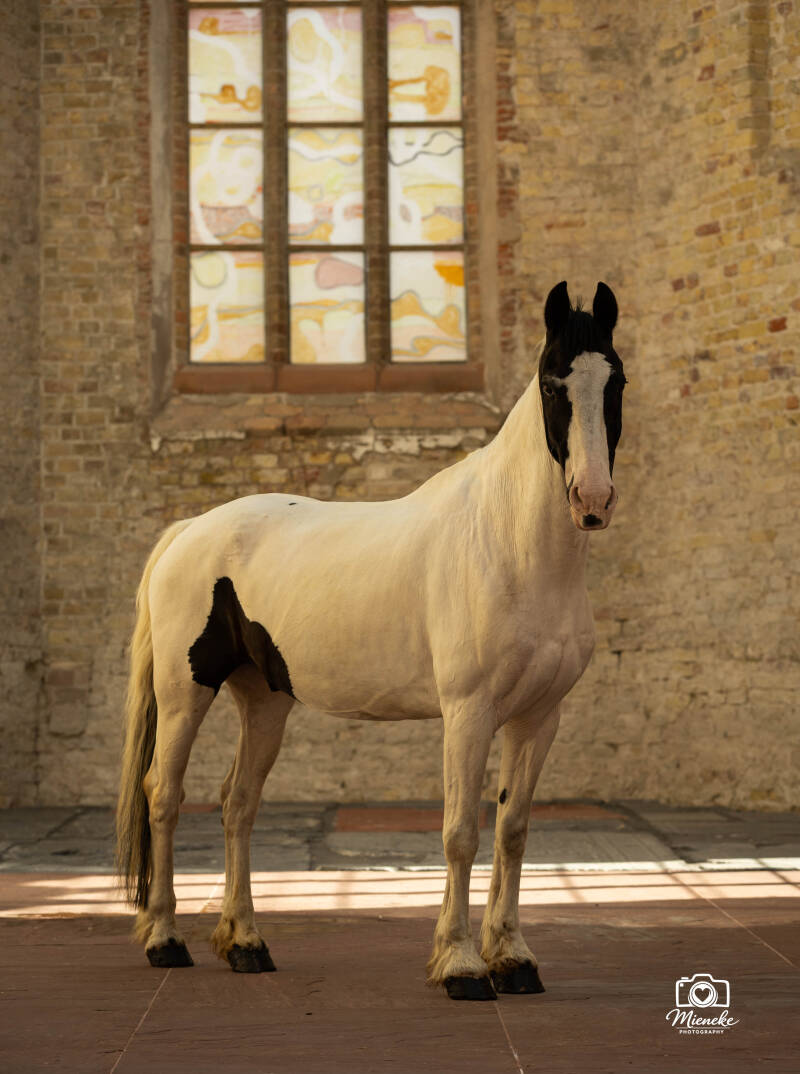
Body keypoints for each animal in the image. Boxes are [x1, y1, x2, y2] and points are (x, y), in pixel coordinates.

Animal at [116, 280, 626, 1001]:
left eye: (616, 383)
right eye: (555, 384)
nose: (592, 500)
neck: (511, 546)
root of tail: (189, 530)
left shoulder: (538, 718)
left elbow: (513, 831)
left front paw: (513, 958)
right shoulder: (468, 714)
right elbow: (461, 833)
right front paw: (461, 965)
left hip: (263, 700)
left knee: (238, 805)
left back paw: (245, 943)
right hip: (186, 692)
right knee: (163, 795)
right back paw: (164, 939)